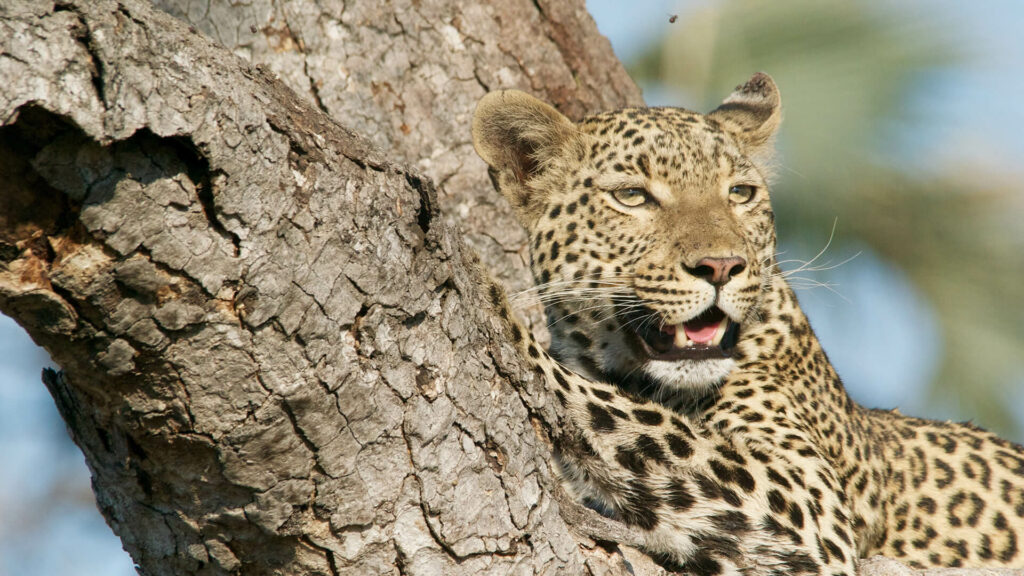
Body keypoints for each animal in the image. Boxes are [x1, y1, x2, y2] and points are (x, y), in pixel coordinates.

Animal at [471, 73, 1024, 575]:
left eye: (739, 192)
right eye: (632, 196)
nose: (721, 266)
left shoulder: (806, 503)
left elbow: (623, 412)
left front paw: (481, 288)